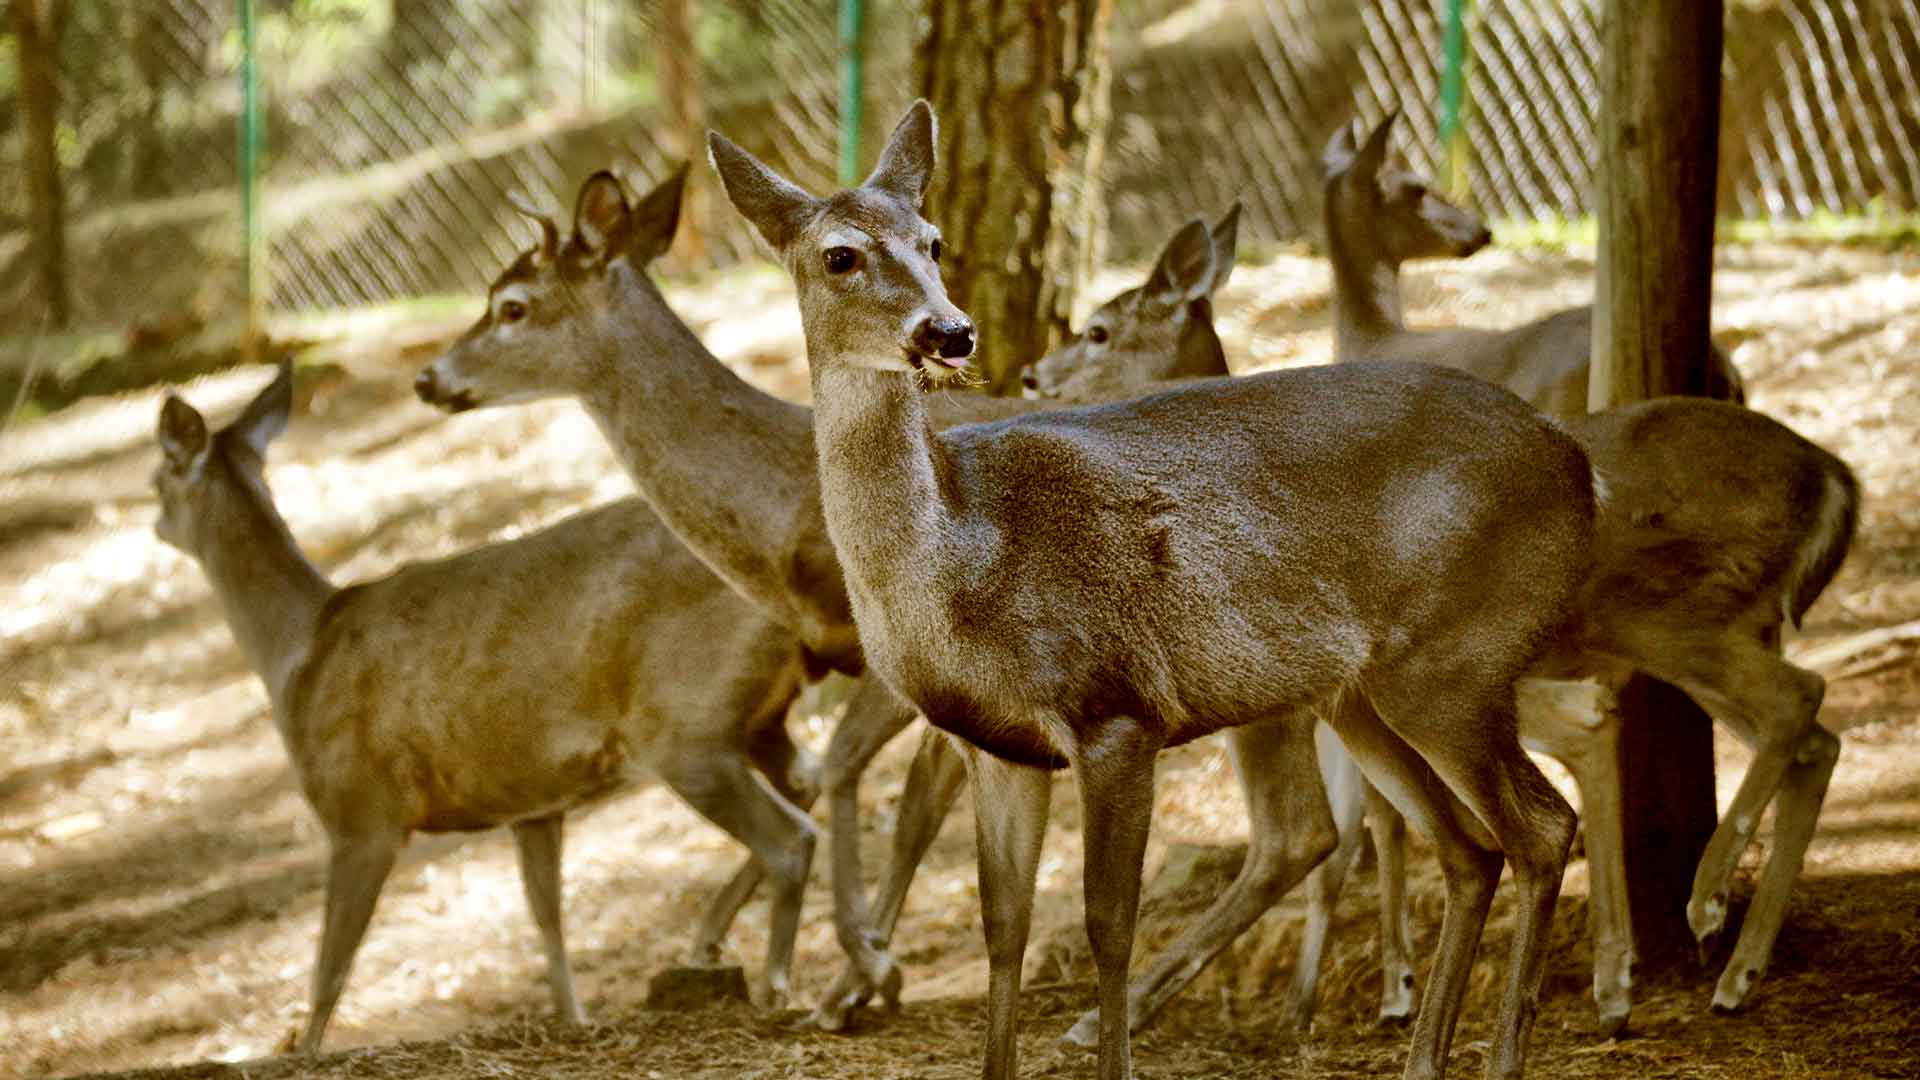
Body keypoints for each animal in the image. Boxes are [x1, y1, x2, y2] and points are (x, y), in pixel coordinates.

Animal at [142, 361, 817, 1053]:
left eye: (157, 477)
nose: (154, 524)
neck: (297, 652)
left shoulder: (359, 811)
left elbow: (330, 969)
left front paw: (303, 1051)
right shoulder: (533, 801)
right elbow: (547, 919)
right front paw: (574, 1021)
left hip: (684, 725)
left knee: (791, 835)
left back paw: (774, 984)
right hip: (756, 718)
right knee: (808, 781)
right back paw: (718, 948)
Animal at [710, 98, 1605, 1076]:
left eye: (933, 240)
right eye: (840, 254)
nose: (951, 333)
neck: (958, 564)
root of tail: (1580, 467)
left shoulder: (1116, 709)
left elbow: (1108, 924)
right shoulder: (998, 748)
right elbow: (1004, 929)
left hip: (1456, 660)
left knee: (1540, 829)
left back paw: (1502, 1053)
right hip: (1365, 691)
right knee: (1469, 848)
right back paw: (1424, 1058)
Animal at [990, 170, 1843, 1045]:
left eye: (1099, 329)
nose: (1032, 377)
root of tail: (1835, 481)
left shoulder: (1301, 700)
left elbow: (1327, 833)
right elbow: (1366, 827)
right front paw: (1364, 988)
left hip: (1658, 621)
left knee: (1782, 704)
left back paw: (1693, 913)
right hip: (1694, 635)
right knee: (1802, 736)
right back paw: (1722, 968)